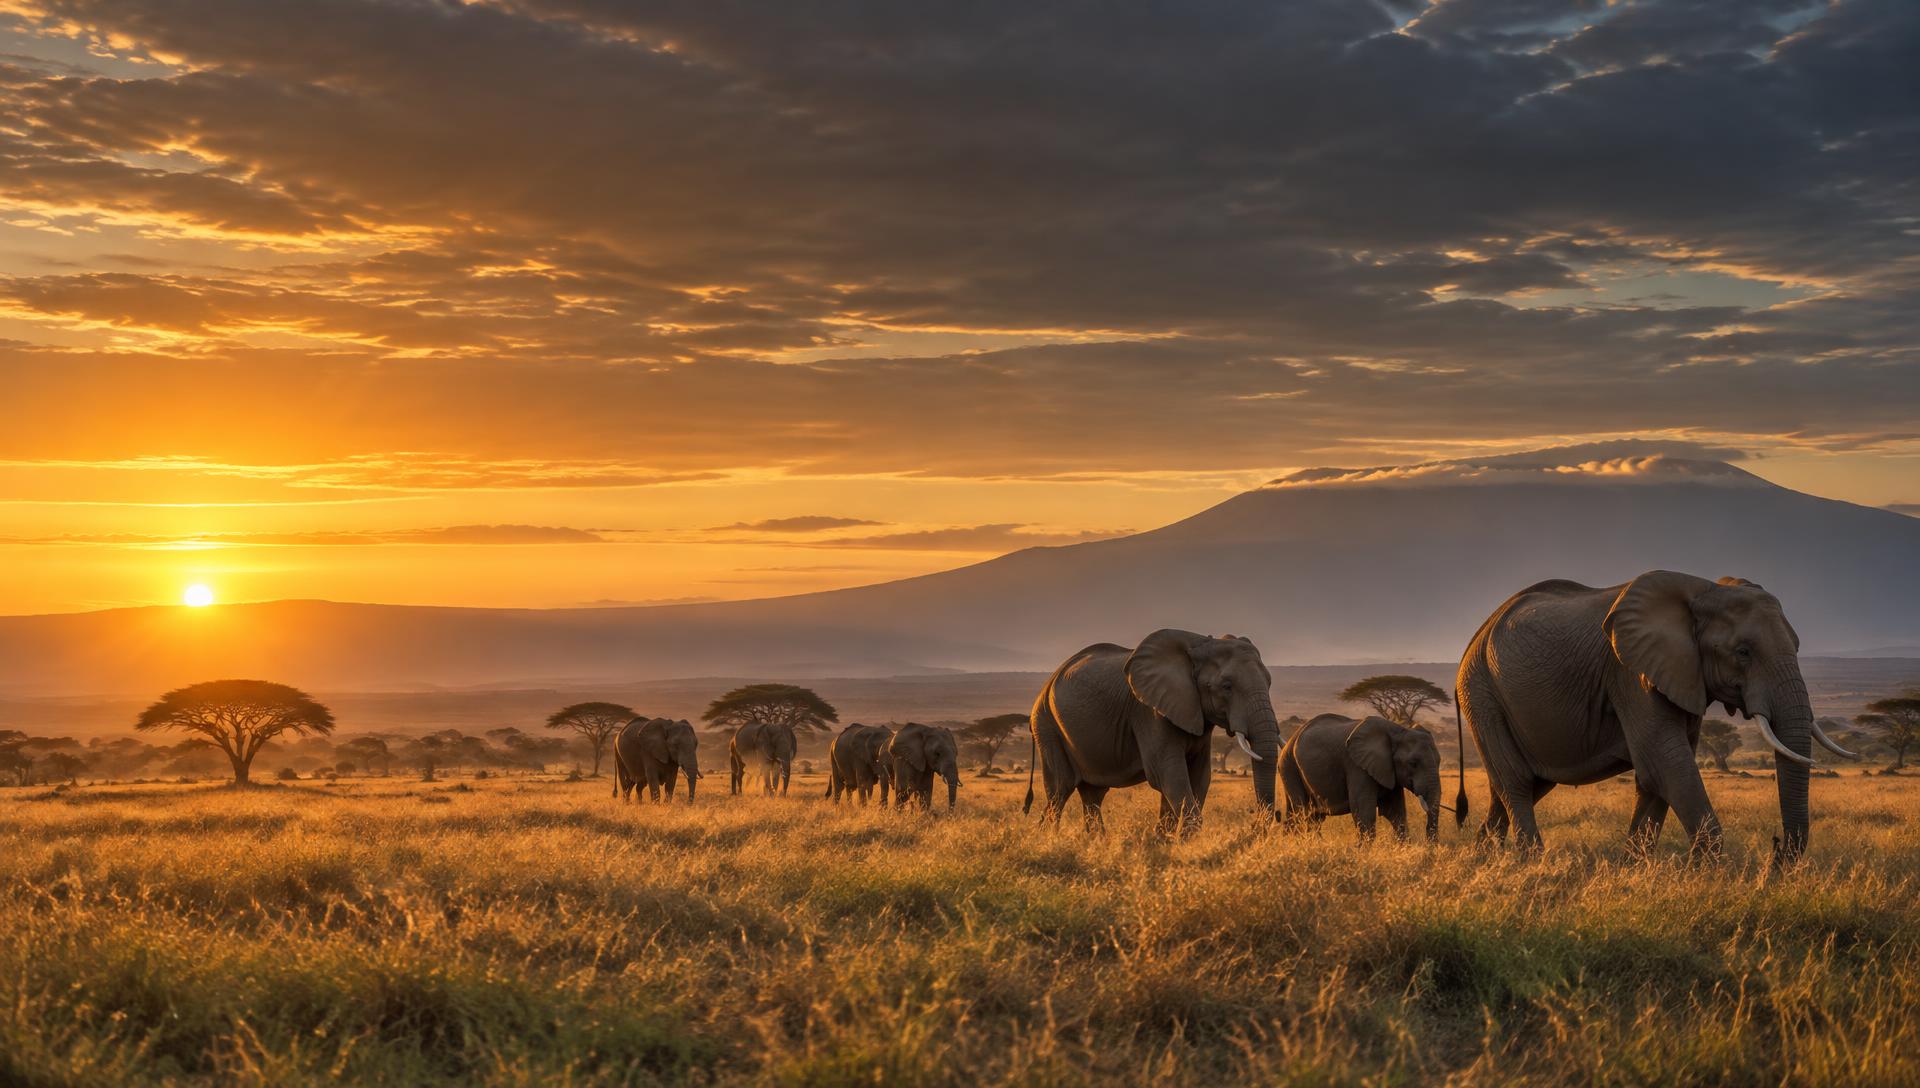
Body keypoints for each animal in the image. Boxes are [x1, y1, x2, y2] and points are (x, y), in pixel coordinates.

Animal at [1025, 629, 1283, 836]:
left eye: (1270, 683)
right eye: (1226, 686)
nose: (1253, 824)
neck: (1200, 642)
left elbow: (1199, 775)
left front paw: (1164, 840)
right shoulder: (1149, 712)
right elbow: (1167, 773)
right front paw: (1182, 841)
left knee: (1092, 795)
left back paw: (1095, 843)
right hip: (1047, 726)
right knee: (1060, 789)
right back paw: (1048, 840)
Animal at [1279, 713, 1442, 842]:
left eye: (1439, 761)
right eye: (1413, 763)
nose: (1430, 844)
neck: (1397, 729)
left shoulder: (1390, 772)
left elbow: (1396, 813)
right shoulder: (1357, 767)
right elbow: (1365, 814)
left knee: (1305, 816)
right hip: (1289, 765)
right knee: (1304, 813)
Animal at [1456, 571, 1852, 861]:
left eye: (1798, 647)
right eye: (1743, 651)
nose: (1776, 849)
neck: (1703, 590)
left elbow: (1657, 775)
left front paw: (1633, 870)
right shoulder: (1630, 673)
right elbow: (1666, 763)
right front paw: (1702, 876)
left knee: (1518, 786)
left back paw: (1483, 860)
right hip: (1481, 692)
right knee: (1518, 783)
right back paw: (1532, 863)